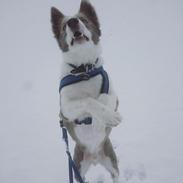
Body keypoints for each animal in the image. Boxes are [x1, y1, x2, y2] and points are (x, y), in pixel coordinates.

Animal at [50, 0, 121, 182]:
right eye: (64, 26)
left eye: (83, 19)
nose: (72, 22)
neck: (84, 69)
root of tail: (94, 157)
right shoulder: (65, 109)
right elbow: (88, 100)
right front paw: (107, 117)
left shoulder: (115, 97)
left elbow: (104, 98)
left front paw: (103, 119)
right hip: (77, 167)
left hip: (111, 161)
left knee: (115, 175)